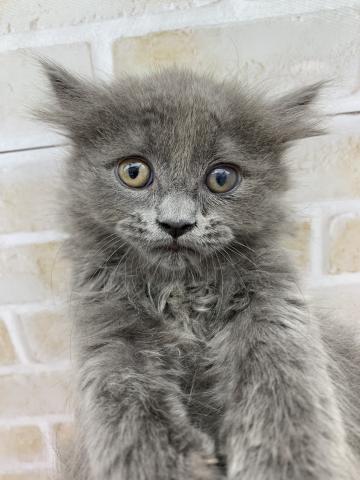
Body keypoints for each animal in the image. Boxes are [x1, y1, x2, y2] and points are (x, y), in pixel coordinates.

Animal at [40, 62, 360, 478]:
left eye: (221, 178)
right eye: (133, 172)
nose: (176, 224)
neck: (182, 294)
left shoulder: (276, 314)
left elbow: (285, 394)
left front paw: (282, 463)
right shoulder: (111, 344)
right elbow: (135, 423)